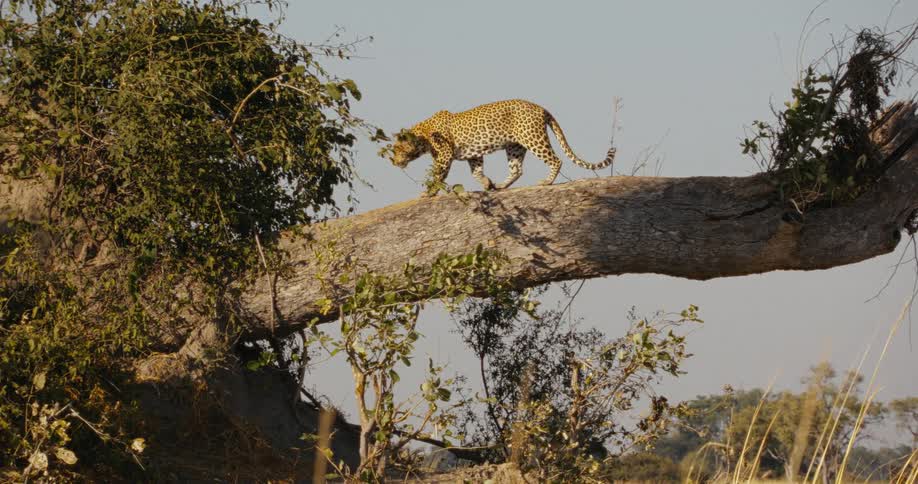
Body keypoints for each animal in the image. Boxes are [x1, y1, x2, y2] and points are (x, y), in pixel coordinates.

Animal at [388, 99, 617, 197]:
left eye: (398, 150)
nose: (395, 162)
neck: (422, 135)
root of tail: (540, 107)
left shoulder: (444, 154)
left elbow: (437, 175)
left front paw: (428, 193)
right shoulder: (473, 154)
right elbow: (476, 171)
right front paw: (487, 183)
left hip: (532, 138)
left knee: (555, 159)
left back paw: (546, 182)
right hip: (514, 146)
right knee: (517, 169)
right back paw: (500, 186)